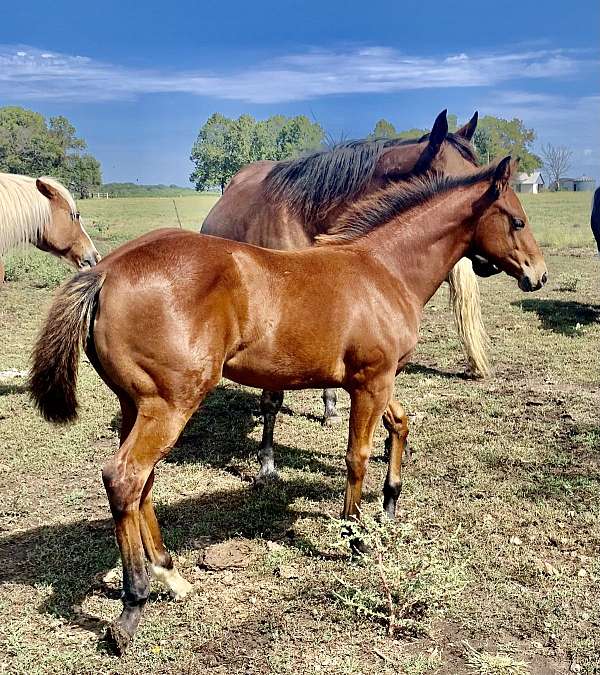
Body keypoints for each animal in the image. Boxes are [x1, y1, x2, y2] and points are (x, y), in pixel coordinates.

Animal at [31, 158, 548, 656]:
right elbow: (357, 457)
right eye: (518, 220)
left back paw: (170, 574)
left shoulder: (374, 382)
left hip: (135, 404)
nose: (538, 274)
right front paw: (355, 538)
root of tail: (105, 271)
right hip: (170, 403)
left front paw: (389, 506)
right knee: (125, 477)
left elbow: (399, 424)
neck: (383, 269)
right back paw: (132, 606)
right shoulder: (372, 380)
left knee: (143, 484)